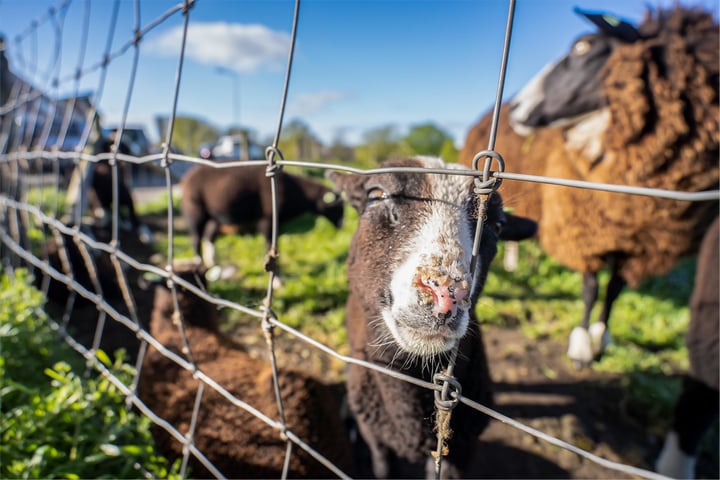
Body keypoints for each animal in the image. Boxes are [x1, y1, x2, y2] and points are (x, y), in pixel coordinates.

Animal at [179, 164, 344, 270]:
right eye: (338, 207)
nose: (341, 225)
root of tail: (188, 176)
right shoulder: (267, 220)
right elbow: (269, 248)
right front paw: (278, 281)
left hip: (216, 214)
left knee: (209, 235)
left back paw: (212, 262)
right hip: (195, 210)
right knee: (195, 238)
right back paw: (199, 264)